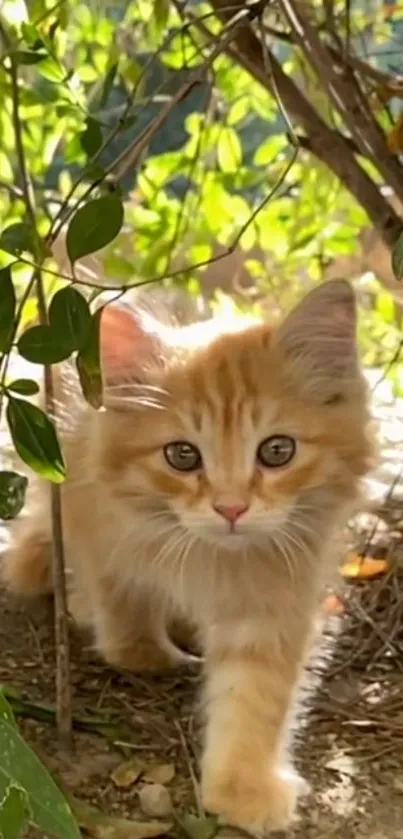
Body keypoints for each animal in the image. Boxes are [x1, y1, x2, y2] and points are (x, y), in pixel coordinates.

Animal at [2, 280, 376, 832]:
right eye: (182, 456)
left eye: (277, 451)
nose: (231, 508)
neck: (207, 556)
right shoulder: (89, 510)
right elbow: (120, 595)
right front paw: (142, 650)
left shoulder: (274, 592)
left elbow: (254, 694)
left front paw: (242, 786)